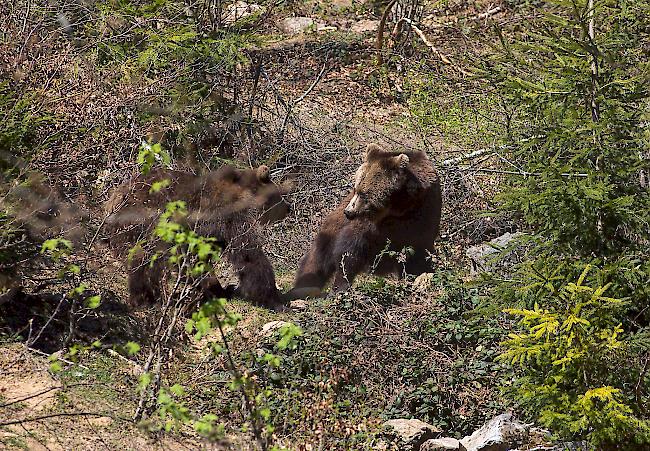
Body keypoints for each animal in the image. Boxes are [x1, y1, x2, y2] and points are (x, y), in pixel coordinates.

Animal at [104, 165, 288, 310]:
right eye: (280, 196)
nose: (288, 209)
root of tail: (114, 198)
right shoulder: (230, 217)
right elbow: (249, 254)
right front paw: (274, 300)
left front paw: (219, 290)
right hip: (147, 222)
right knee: (148, 260)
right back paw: (149, 299)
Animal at [284, 145, 440, 300]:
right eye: (355, 189)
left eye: (363, 193)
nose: (348, 212)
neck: (399, 207)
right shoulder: (369, 226)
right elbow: (350, 251)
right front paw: (340, 286)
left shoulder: (422, 217)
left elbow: (419, 253)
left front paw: (419, 276)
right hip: (331, 229)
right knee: (317, 259)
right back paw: (303, 288)